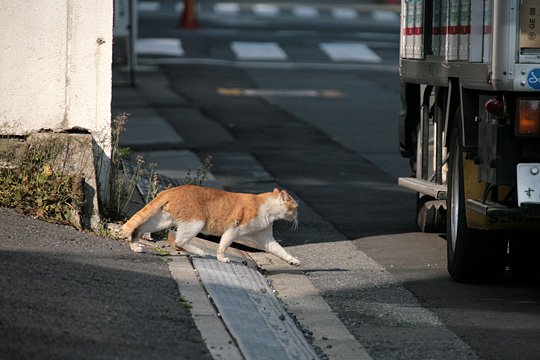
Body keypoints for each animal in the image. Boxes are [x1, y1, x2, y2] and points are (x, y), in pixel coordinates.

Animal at [121, 186, 300, 264]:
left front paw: (292, 260)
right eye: (296, 207)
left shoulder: (266, 239)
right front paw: (221, 258)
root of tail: (172, 189)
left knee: (139, 229)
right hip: (196, 223)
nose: (298, 215)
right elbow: (223, 245)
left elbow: (280, 250)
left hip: (162, 221)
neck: (267, 209)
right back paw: (200, 252)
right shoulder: (233, 230)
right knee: (179, 242)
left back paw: (135, 247)